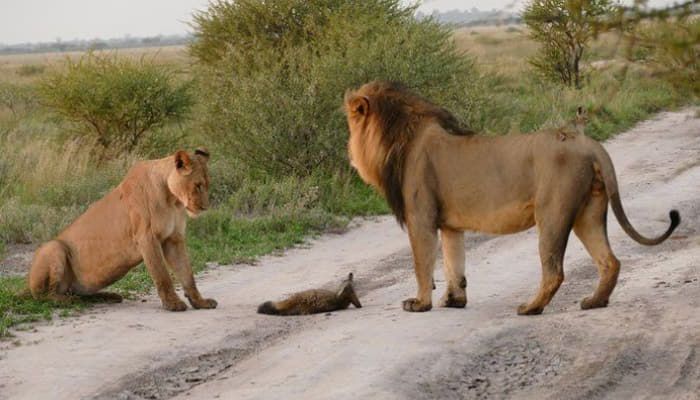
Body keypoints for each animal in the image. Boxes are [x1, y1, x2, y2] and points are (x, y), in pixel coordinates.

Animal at [28, 148, 216, 310]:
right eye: (198, 185)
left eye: (207, 185)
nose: (205, 207)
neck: (172, 200)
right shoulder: (147, 237)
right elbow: (162, 275)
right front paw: (172, 304)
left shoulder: (174, 239)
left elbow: (187, 274)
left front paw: (200, 302)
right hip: (53, 247)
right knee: (44, 295)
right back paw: (68, 300)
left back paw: (108, 296)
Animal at [344, 79, 680, 314]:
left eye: (350, 124)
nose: (348, 154)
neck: (400, 137)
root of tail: (587, 142)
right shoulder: (450, 224)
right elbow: (455, 262)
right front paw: (454, 300)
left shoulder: (421, 218)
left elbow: (422, 263)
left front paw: (420, 303)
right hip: (589, 211)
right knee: (610, 261)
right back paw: (594, 301)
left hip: (553, 213)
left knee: (554, 270)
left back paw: (531, 308)